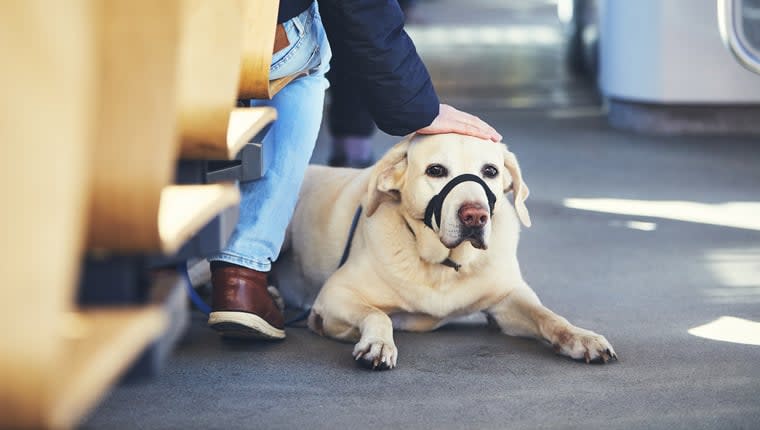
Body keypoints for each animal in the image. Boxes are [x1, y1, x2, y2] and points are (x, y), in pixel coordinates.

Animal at [282, 134, 616, 370]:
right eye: (436, 170)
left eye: (490, 171)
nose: (475, 216)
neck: (443, 265)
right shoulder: (334, 295)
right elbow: (377, 314)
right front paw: (377, 343)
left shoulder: (508, 298)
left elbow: (548, 316)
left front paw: (581, 337)